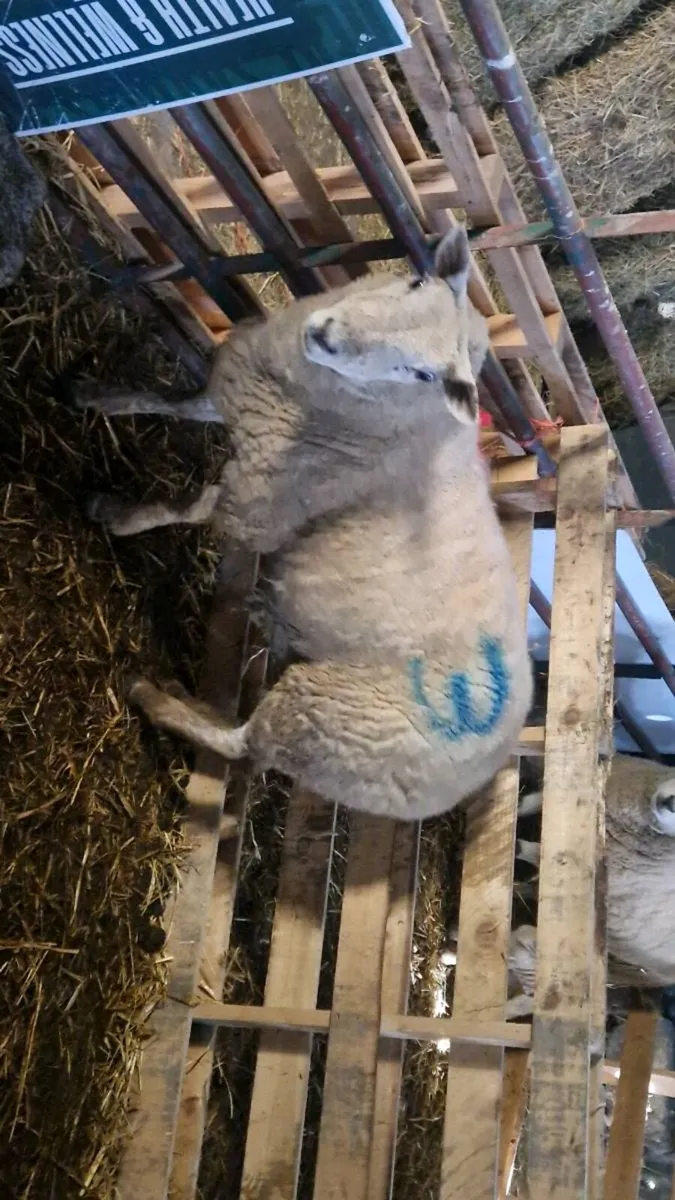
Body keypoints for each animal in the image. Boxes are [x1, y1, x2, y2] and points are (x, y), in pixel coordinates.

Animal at [78, 226, 533, 821]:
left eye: (423, 373)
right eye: (415, 281)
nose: (328, 335)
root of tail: (500, 757)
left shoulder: (264, 502)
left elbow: (188, 507)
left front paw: (117, 516)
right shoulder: (245, 398)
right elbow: (174, 402)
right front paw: (97, 395)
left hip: (327, 723)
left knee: (241, 744)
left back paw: (152, 697)